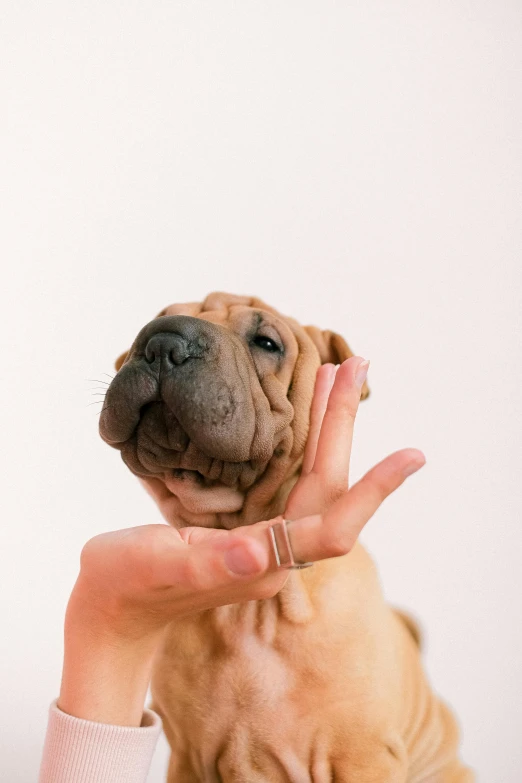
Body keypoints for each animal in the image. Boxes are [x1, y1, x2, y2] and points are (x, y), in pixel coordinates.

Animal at [98, 292, 472, 783]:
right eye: (154, 323)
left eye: (267, 343)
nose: (162, 343)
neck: (249, 612)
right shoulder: (187, 759)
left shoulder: (362, 755)